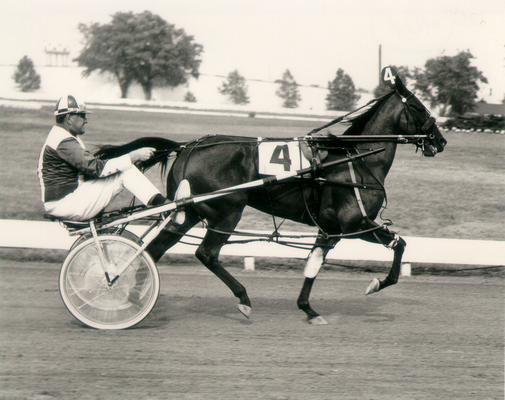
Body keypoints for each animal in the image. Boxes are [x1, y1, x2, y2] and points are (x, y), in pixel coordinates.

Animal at [97, 67, 444, 324]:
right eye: (419, 106)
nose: (440, 140)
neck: (355, 159)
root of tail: (189, 146)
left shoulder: (329, 229)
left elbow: (313, 263)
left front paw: (308, 308)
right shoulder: (354, 223)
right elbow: (399, 245)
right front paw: (375, 284)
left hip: (190, 212)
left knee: (155, 250)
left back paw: (132, 294)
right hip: (226, 211)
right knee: (206, 254)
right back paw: (243, 298)